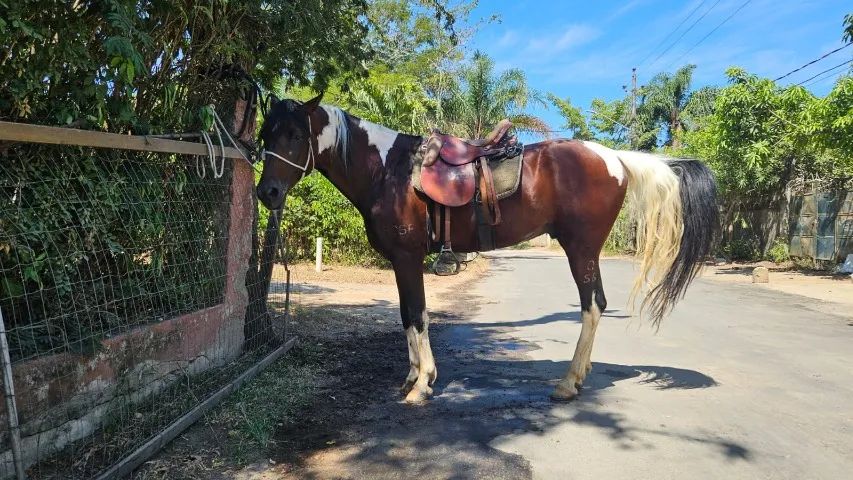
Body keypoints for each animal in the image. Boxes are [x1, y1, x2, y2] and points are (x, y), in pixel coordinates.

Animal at [256, 94, 717, 403]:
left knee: (592, 306)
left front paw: (422, 384)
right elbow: (406, 316)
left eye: (295, 134)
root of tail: (615, 158)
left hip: (581, 250)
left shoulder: (408, 258)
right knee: (596, 306)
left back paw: (568, 383)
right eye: (265, 134)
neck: (390, 172)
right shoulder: (401, 262)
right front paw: (412, 377)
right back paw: (581, 373)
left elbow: (418, 316)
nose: (267, 192)